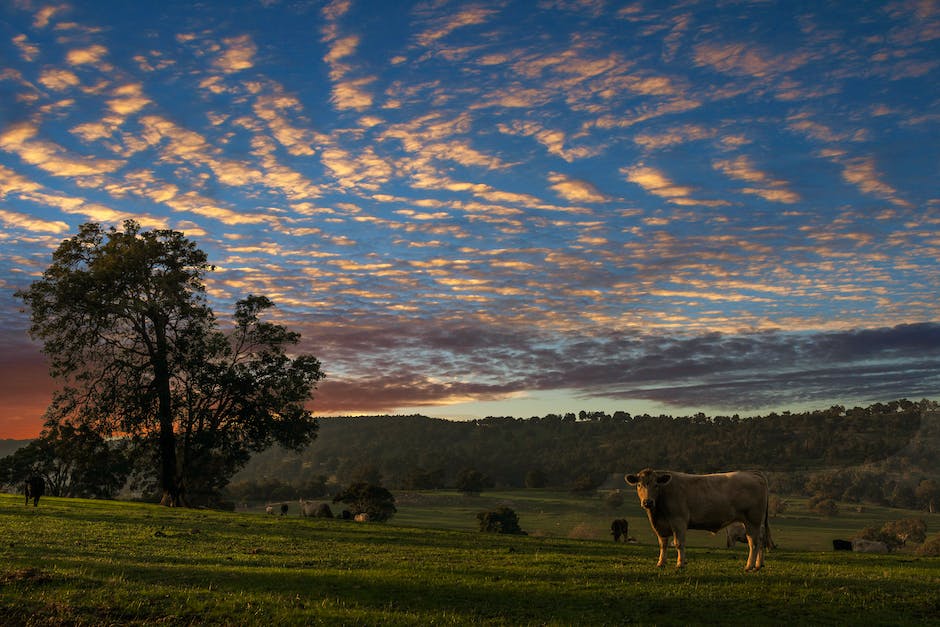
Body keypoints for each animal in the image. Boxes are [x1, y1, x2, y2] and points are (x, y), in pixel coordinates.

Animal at [624, 468, 772, 572]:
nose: (647, 502)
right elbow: (663, 544)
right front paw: (661, 563)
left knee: (753, 543)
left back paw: (749, 566)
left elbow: (678, 543)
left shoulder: (679, 521)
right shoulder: (660, 526)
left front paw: (680, 564)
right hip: (755, 523)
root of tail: (753, 473)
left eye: (656, 485)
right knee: (760, 540)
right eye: (639, 485)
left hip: (752, 520)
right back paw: (758, 565)